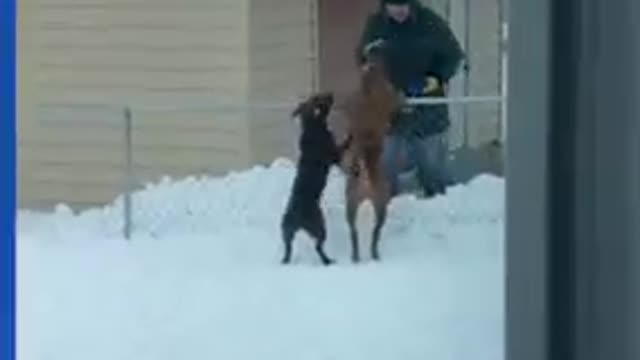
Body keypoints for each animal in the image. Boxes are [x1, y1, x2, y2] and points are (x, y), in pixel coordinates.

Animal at [280, 91, 350, 266]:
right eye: (319, 98)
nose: (331, 93)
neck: (313, 125)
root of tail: (297, 218)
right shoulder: (334, 155)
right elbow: (343, 146)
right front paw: (350, 136)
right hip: (320, 227)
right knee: (318, 247)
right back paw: (328, 261)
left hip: (286, 232)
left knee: (288, 248)